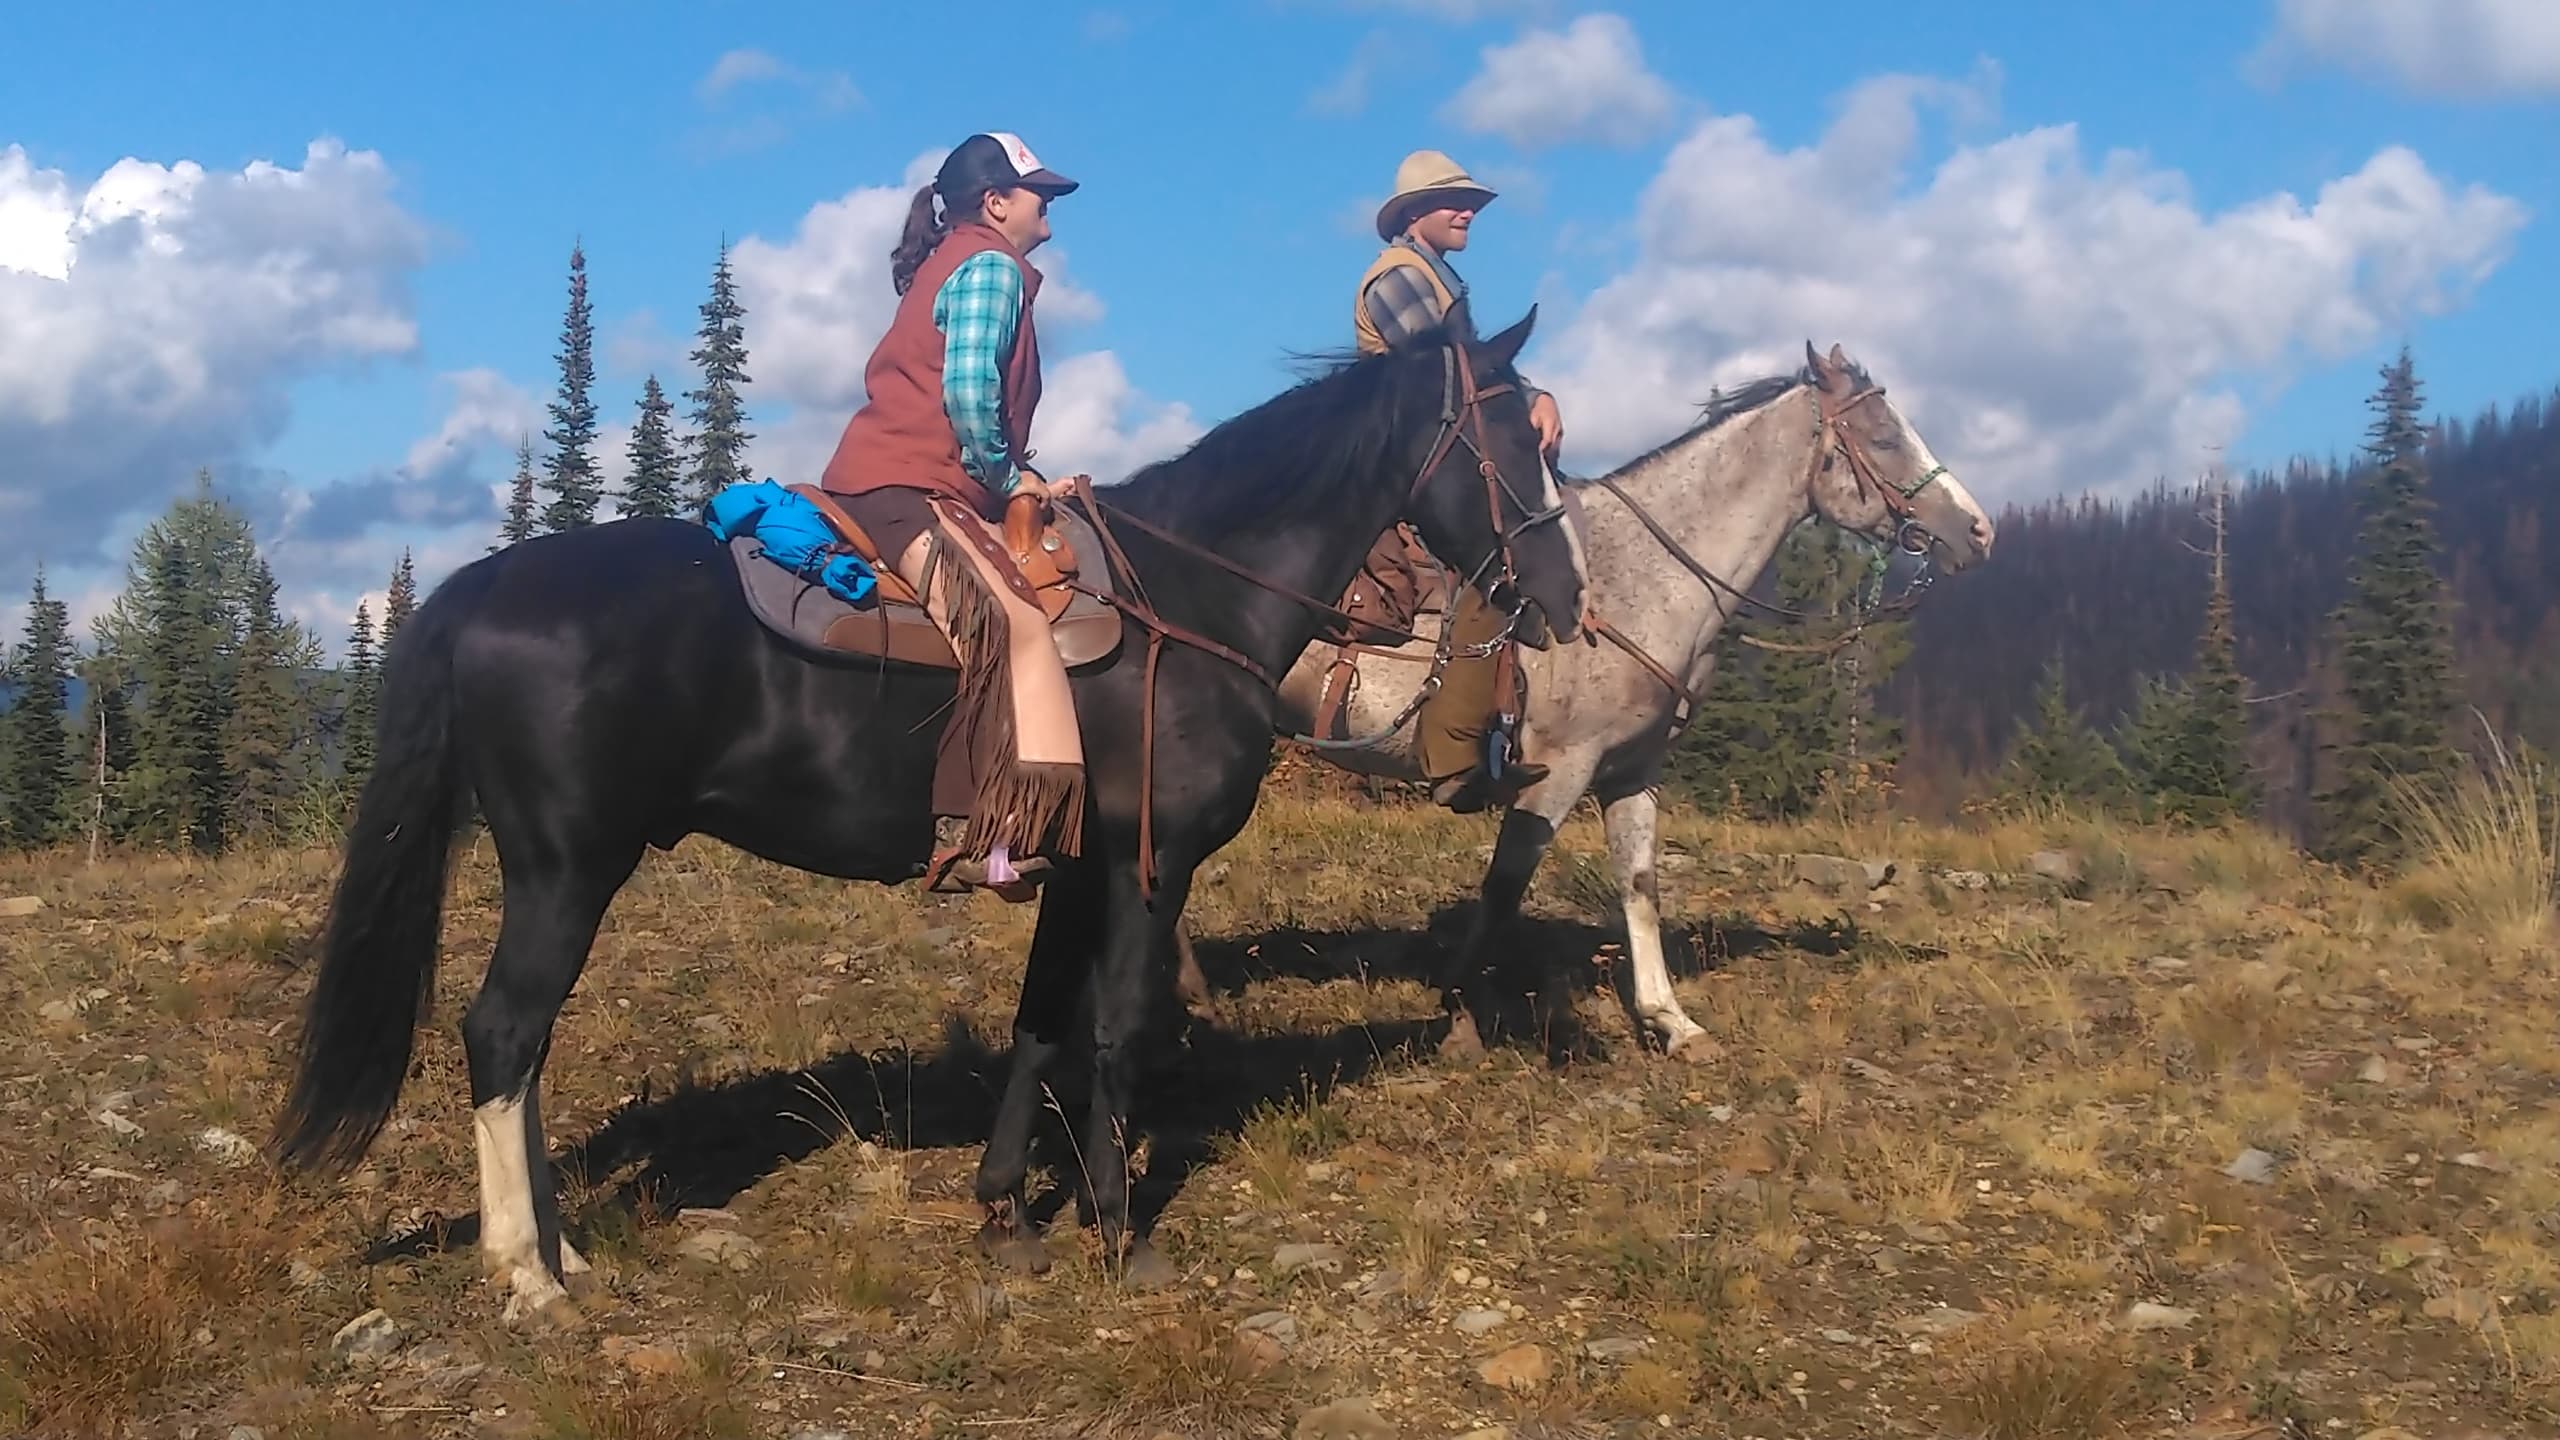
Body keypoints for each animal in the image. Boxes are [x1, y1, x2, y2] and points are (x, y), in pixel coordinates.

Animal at [268, 310, 1589, 1318]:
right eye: (1509, 441)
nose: (1566, 595)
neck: (1193, 598)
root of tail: (482, 582)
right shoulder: (1148, 869)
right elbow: (1115, 1034)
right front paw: (1119, 1230)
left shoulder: (1071, 871)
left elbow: (1042, 1027)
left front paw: (1008, 1210)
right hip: (565, 867)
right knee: (504, 1033)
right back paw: (527, 1277)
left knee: (523, 1047)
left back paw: (564, 1249)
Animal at [1175, 342, 1996, 1056]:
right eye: (1883, 435)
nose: (1979, 531)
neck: (1641, 578)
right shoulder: (1560, 770)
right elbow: (1503, 890)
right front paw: (1461, 1016)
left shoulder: (1632, 770)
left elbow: (1639, 883)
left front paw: (1671, 1021)